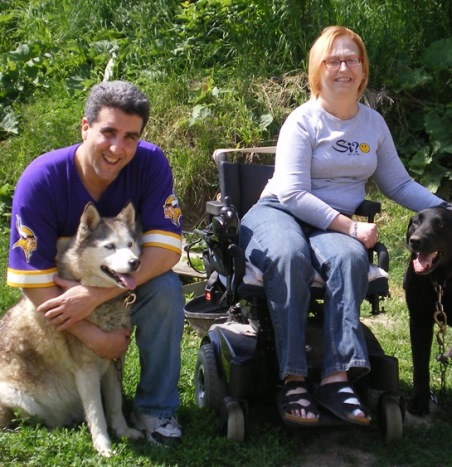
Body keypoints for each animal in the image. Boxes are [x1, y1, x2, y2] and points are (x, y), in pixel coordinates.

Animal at [0, 202, 143, 458]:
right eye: (110, 246)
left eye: (129, 244)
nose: (135, 262)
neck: (103, 306)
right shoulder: (86, 371)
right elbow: (97, 414)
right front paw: (104, 446)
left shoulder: (114, 362)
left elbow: (115, 405)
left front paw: (123, 431)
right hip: (13, 395)